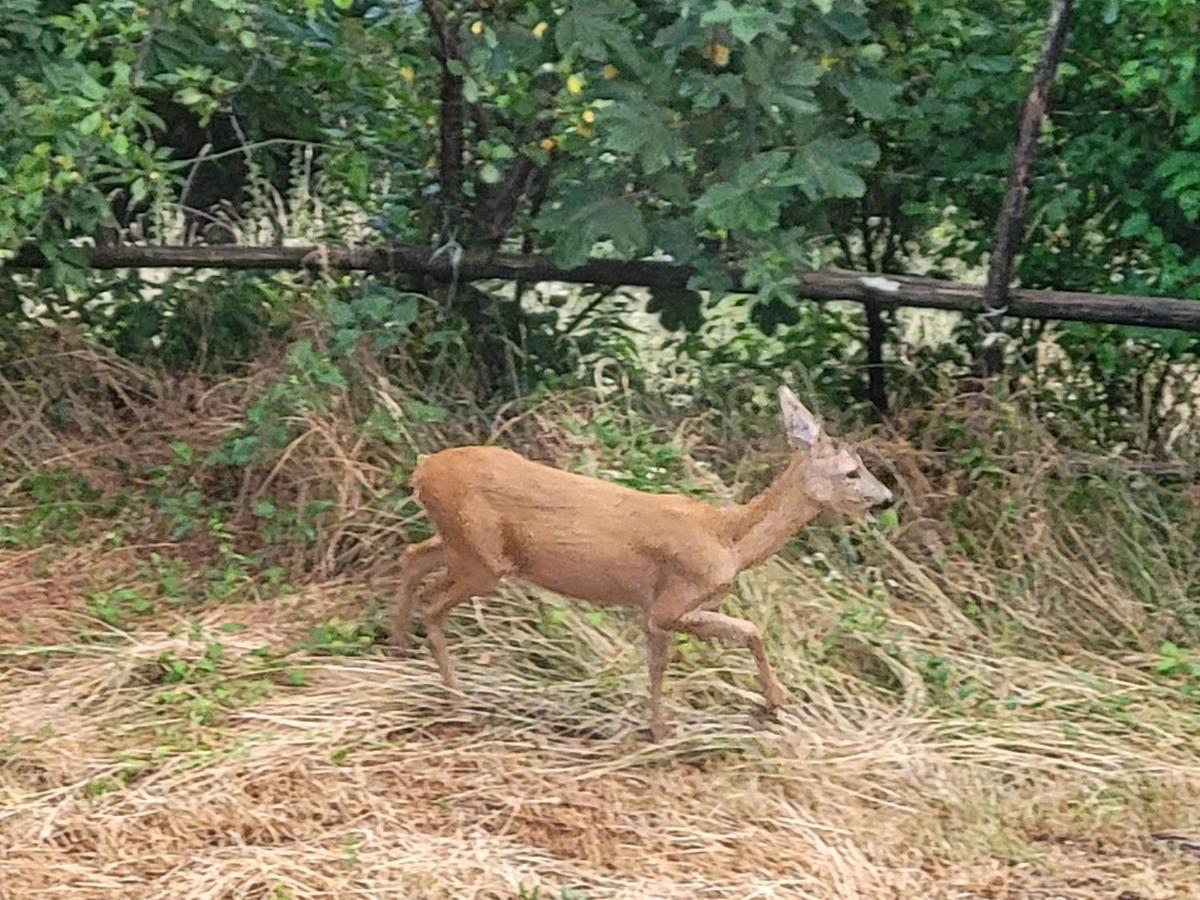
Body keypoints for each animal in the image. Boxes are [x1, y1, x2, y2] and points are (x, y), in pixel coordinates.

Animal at [391, 388, 892, 739]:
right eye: (852, 472)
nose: (886, 499)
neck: (728, 537)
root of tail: (422, 467)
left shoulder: (652, 610)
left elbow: (657, 664)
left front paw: (658, 729)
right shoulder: (673, 601)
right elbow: (751, 630)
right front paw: (775, 702)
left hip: (461, 542)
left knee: (411, 557)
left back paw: (398, 649)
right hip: (484, 558)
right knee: (432, 602)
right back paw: (457, 700)